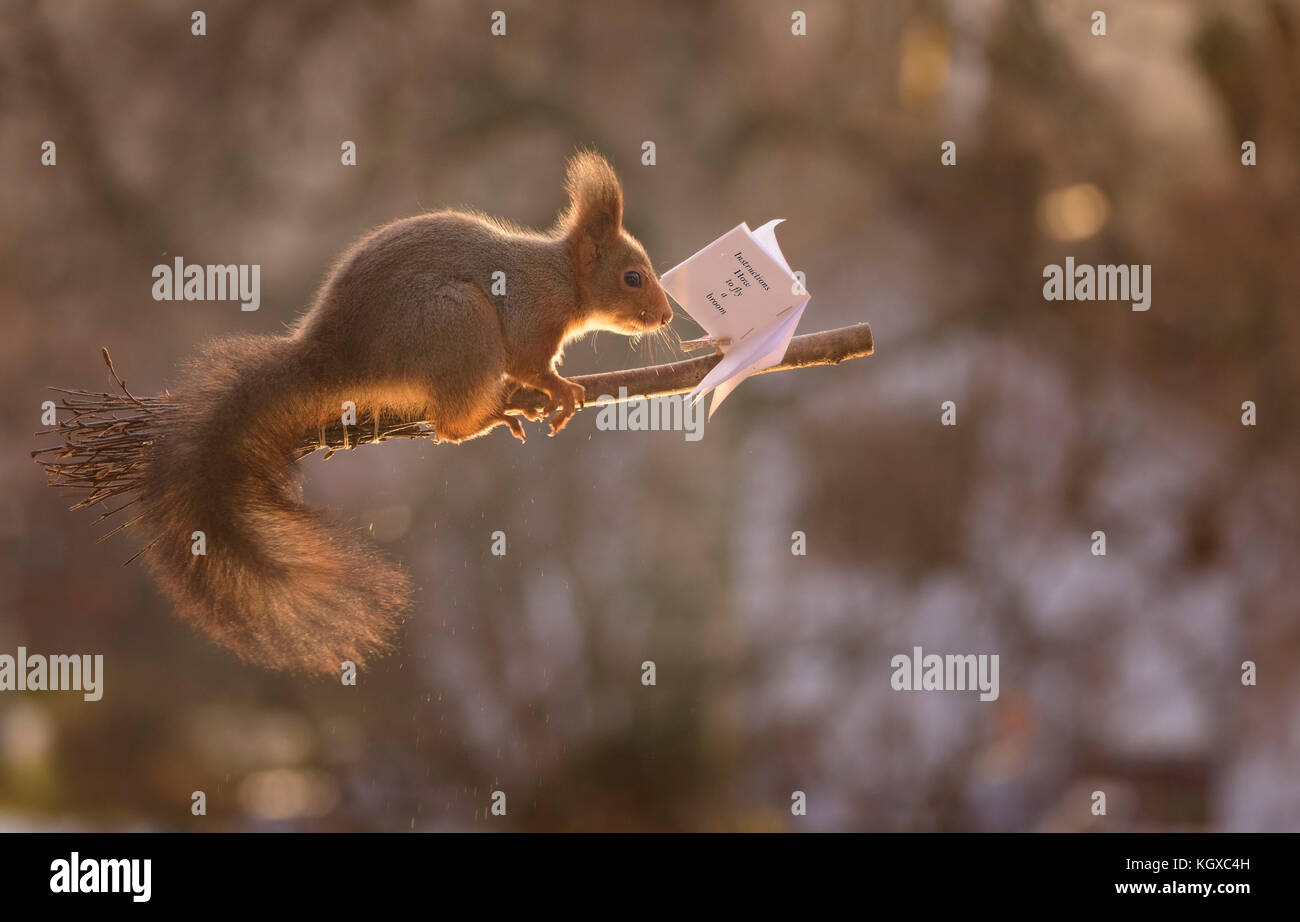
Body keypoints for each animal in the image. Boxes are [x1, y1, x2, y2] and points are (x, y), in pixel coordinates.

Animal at [142, 149, 670, 671]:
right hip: (457, 321)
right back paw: (492, 414)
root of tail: (339, 357)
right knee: (449, 426)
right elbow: (528, 362)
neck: (563, 278)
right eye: (632, 278)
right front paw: (560, 389)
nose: (666, 316)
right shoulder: (531, 316)